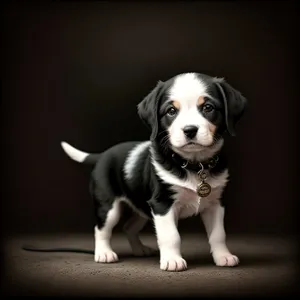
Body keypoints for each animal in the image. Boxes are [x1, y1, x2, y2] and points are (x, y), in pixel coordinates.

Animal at [60, 72, 246, 272]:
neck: (193, 164)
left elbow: (218, 234)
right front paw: (172, 260)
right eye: (171, 111)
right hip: (109, 206)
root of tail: (103, 154)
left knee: (129, 227)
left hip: (141, 207)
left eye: (208, 107)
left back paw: (139, 250)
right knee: (101, 229)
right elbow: (171, 236)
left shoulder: (215, 204)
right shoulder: (162, 205)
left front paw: (223, 256)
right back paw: (104, 253)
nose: (189, 130)